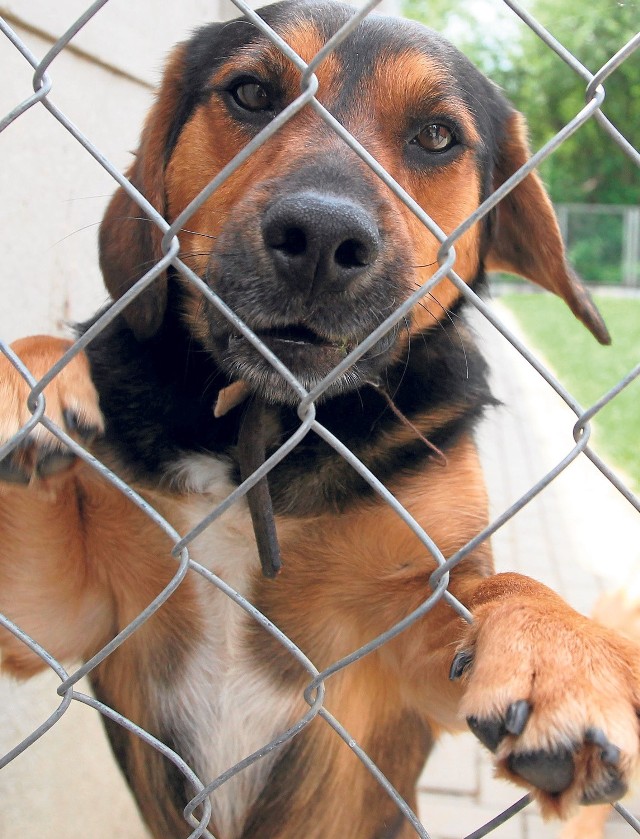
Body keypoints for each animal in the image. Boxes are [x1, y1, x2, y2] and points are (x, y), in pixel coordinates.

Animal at [1, 1, 640, 839]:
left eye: (437, 135)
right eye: (250, 92)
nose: (321, 239)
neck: (267, 427)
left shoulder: (404, 646)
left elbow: (503, 585)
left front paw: (561, 653)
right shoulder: (65, 609)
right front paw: (28, 375)